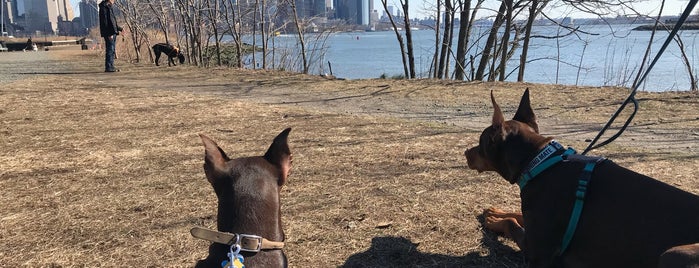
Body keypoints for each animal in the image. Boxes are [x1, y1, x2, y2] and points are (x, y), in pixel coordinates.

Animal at [464, 90, 699, 268]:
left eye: (481, 142)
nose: (466, 152)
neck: (539, 162)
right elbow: (518, 214)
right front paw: (495, 212)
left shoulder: (537, 252)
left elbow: (512, 224)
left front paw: (496, 220)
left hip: (674, 254)